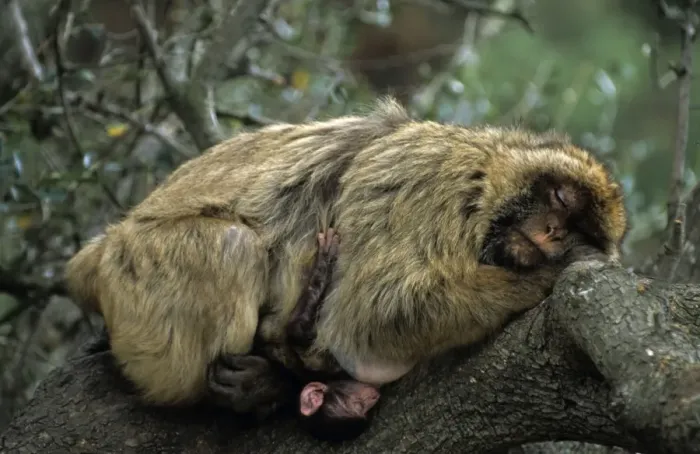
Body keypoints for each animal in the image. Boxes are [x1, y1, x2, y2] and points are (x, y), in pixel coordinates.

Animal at [64, 97, 627, 424]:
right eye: (559, 197)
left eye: (580, 224)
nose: (556, 232)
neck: (484, 179)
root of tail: (92, 259)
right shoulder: (437, 179)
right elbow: (378, 312)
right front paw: (549, 277)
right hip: (139, 275)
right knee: (233, 245)